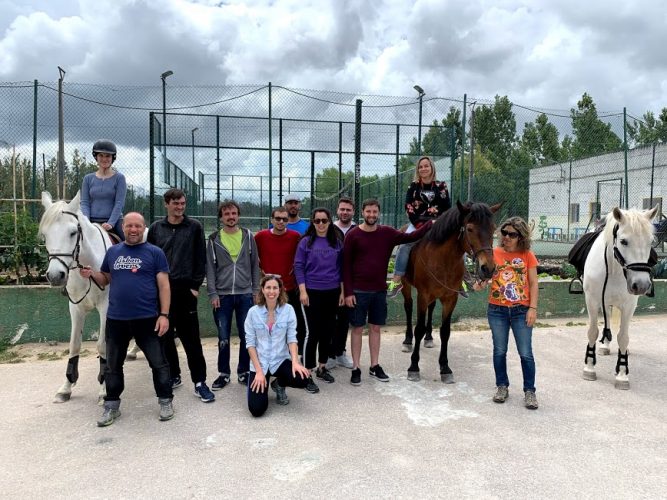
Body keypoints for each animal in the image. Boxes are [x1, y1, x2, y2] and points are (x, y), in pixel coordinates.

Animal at [39, 191, 111, 402]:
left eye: (72, 233)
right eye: (45, 235)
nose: (56, 275)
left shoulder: (106, 306)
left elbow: (102, 345)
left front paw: (104, 387)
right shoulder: (76, 307)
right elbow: (74, 345)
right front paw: (66, 387)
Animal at [402, 199, 500, 382]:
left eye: (493, 228)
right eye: (469, 229)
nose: (488, 268)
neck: (443, 260)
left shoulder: (450, 298)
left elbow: (445, 331)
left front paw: (445, 368)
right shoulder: (423, 296)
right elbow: (418, 328)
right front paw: (413, 367)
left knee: (431, 308)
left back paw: (429, 338)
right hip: (406, 285)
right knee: (408, 307)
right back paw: (407, 341)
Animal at [584, 205, 656, 388]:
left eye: (650, 242)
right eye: (623, 241)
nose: (641, 285)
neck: (615, 269)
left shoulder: (629, 305)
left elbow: (624, 337)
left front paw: (622, 374)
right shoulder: (592, 300)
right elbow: (592, 332)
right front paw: (589, 367)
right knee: (607, 318)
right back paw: (604, 345)